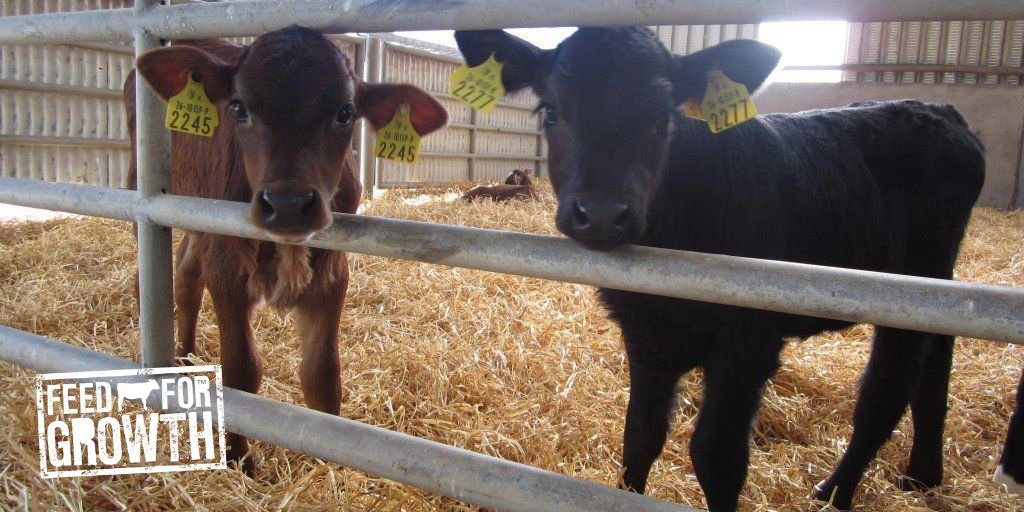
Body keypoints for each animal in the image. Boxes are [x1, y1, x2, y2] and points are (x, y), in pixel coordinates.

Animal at [125, 26, 448, 471]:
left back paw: (186, 355)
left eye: (345, 112)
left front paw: (333, 462)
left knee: (188, 276)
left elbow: (323, 375)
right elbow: (241, 371)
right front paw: (239, 461)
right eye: (239, 108)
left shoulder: (332, 273)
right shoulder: (227, 267)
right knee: (150, 275)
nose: (289, 203)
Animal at [454, 27, 984, 511]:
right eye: (551, 111)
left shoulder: (749, 340)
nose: (602, 212)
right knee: (936, 361)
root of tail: (943, 111)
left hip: (913, 285)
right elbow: (640, 435)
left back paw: (835, 493)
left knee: (884, 392)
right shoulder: (643, 333)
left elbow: (717, 457)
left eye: (663, 115)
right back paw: (922, 476)